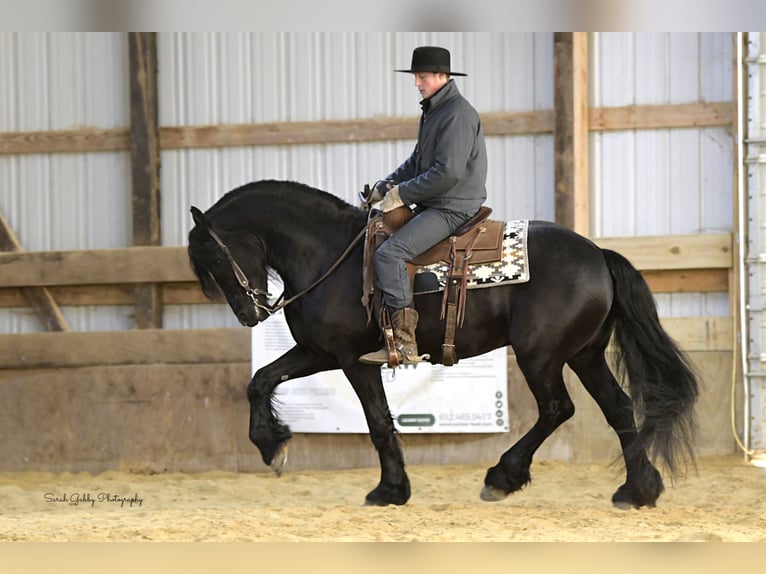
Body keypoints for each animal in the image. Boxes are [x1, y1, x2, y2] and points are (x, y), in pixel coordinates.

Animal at [189, 179, 700, 508]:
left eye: (215, 257)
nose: (250, 314)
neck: (328, 254)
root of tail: (598, 254)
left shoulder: (355, 359)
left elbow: (378, 421)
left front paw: (390, 490)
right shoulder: (320, 353)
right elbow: (259, 381)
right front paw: (270, 446)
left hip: (541, 356)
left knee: (558, 409)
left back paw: (503, 477)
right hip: (584, 354)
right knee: (618, 408)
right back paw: (638, 490)